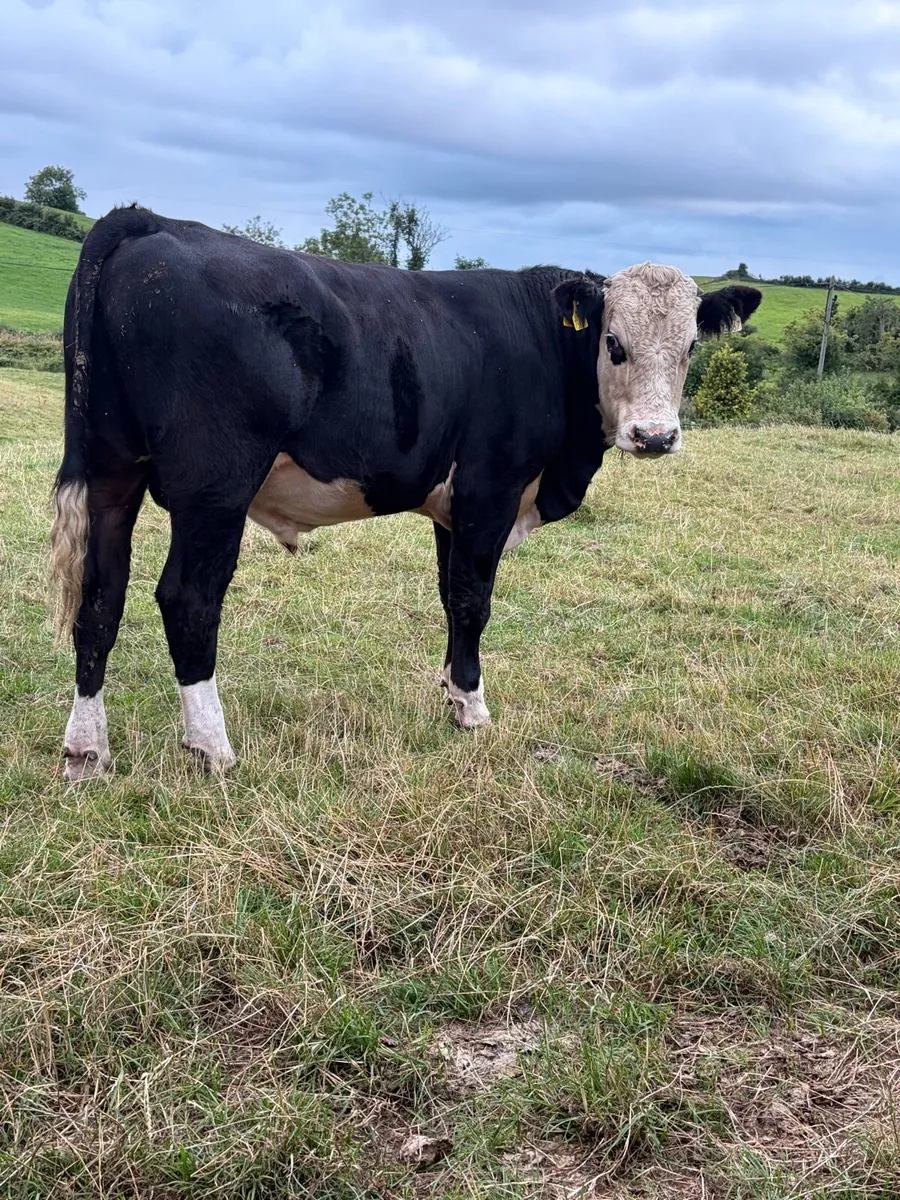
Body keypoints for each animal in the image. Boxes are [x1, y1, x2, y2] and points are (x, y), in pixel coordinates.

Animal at [49, 206, 761, 780]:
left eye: (690, 347)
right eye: (613, 343)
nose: (655, 435)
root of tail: (153, 222)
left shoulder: (453, 509)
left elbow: (450, 597)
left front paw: (450, 694)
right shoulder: (489, 490)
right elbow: (473, 601)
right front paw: (472, 708)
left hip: (112, 471)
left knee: (100, 598)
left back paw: (88, 750)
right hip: (215, 488)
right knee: (188, 600)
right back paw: (211, 747)